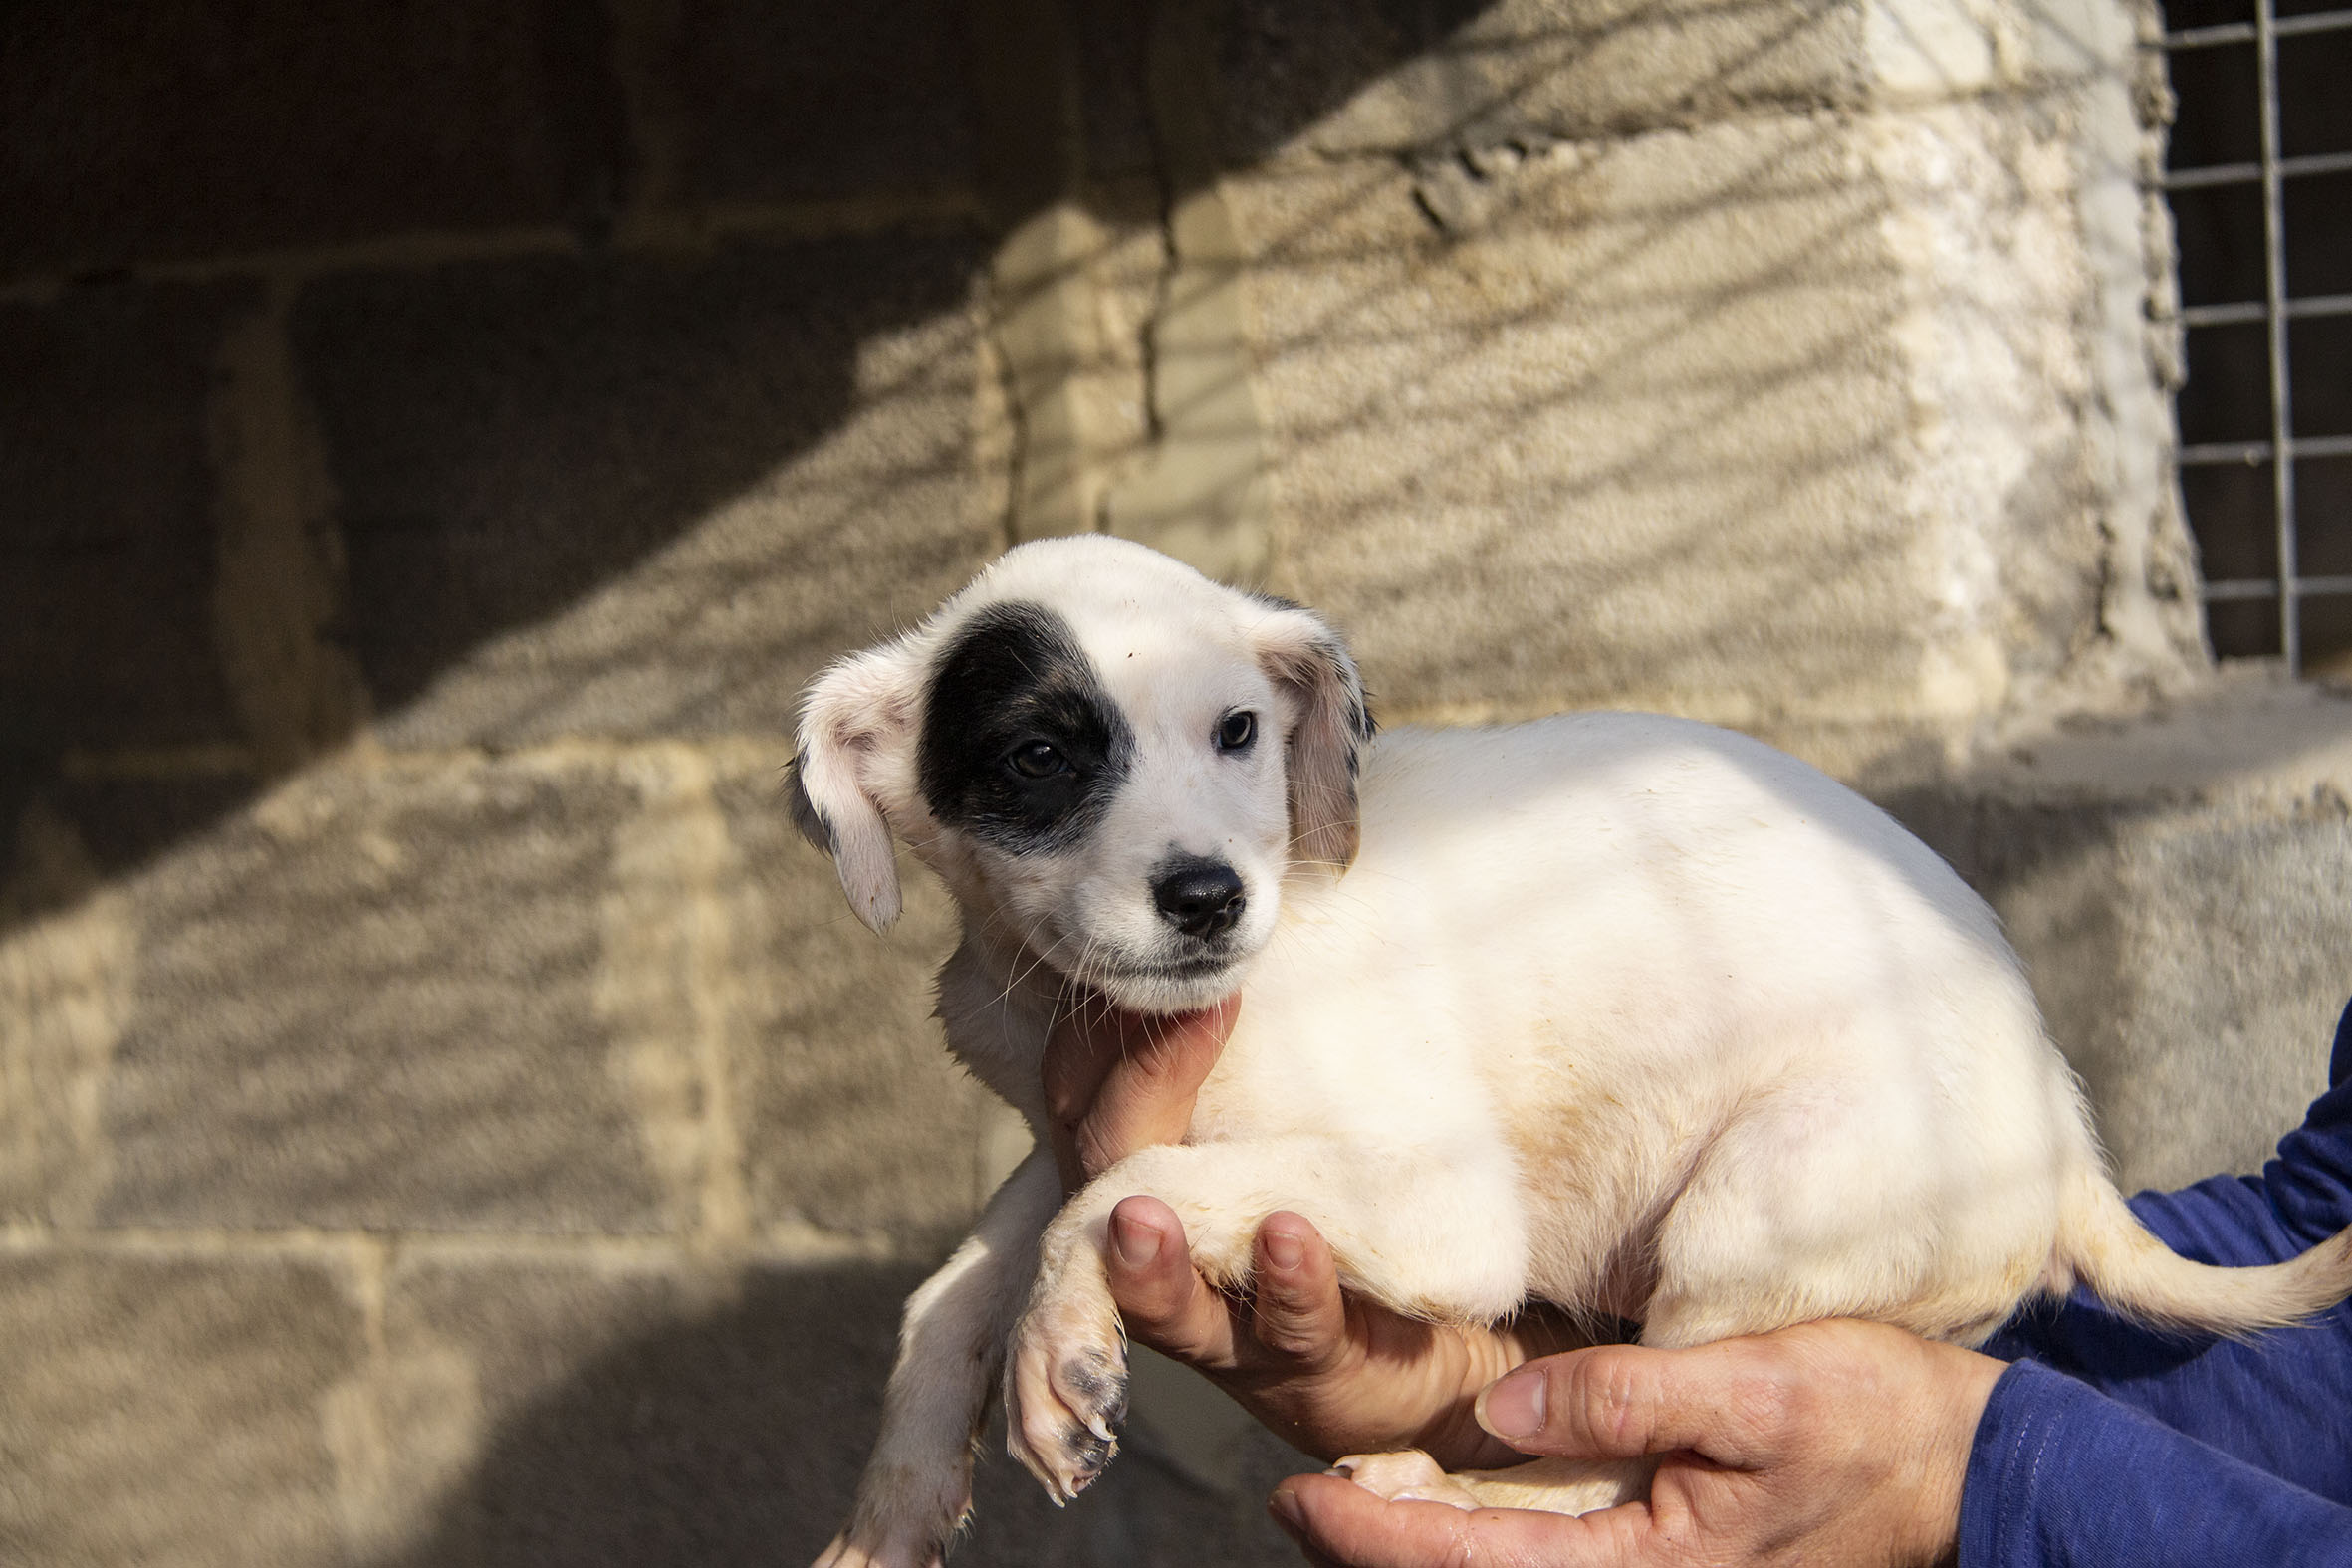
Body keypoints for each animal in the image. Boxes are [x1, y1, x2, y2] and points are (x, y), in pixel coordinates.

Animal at [790, 535, 2352, 1568]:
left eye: (1236, 731)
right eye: (1040, 755)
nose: (1207, 897)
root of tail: (2068, 1148)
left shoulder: (1439, 1204)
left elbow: (1112, 1199)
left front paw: (1057, 1354)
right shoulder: (1060, 1119)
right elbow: (950, 1285)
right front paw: (895, 1507)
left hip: (1750, 1217)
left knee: (1630, 1457)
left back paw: (1464, 1496)